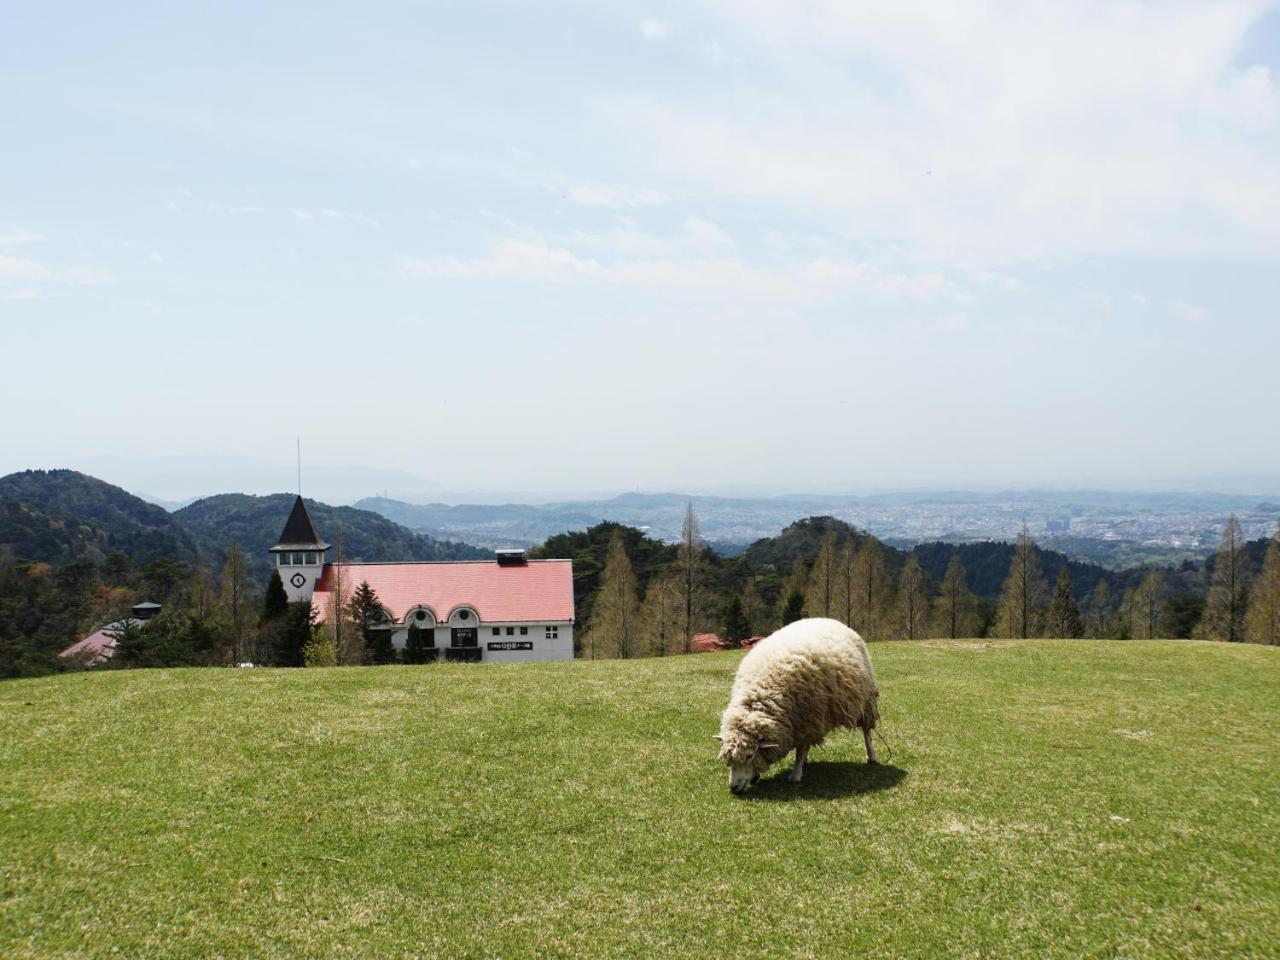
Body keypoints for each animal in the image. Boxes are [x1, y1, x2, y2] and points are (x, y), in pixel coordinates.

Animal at [711, 619, 880, 793]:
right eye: (728, 760)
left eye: (750, 755)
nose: (734, 788)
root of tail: (830, 620)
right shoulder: (801, 723)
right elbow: (802, 749)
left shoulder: (807, 720)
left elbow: (800, 751)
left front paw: (795, 774)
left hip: (865, 701)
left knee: (866, 731)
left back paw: (871, 756)